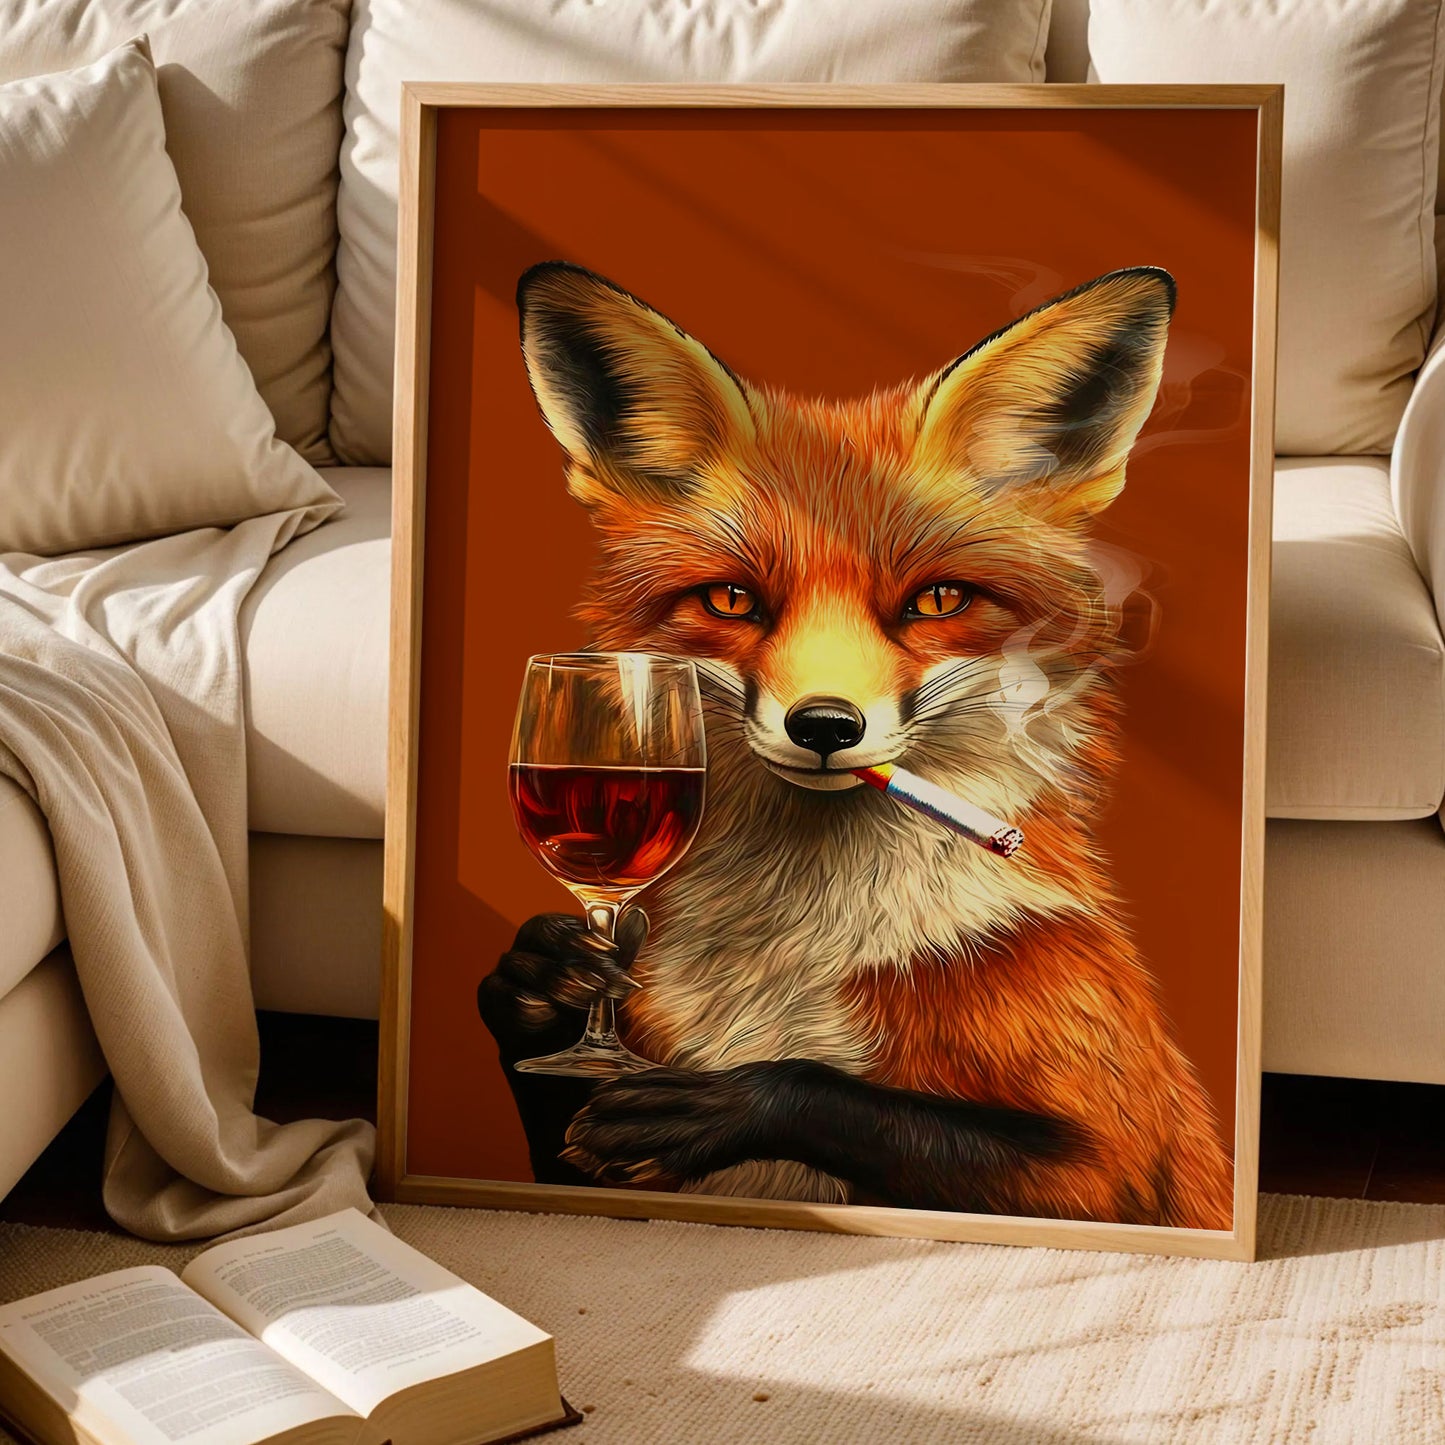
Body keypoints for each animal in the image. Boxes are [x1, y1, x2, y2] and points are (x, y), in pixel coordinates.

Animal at [477, 259, 1235, 1231]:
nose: (827, 726)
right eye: (731, 600)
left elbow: (829, 1090)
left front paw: (723, 1101)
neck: (788, 952)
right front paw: (546, 978)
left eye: (937, 600)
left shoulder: (1105, 1164)